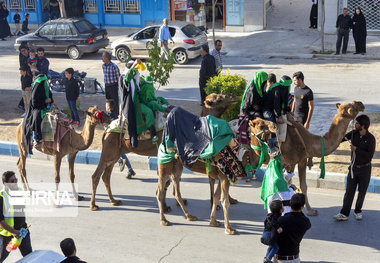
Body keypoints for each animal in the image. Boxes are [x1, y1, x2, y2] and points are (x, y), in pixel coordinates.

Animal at [89, 94, 238, 211]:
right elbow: (167, 180)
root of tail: (107, 129)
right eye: (218, 98)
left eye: (222, 94)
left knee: (106, 176)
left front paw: (176, 203)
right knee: (96, 175)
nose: (232, 96)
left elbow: (171, 179)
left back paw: (114, 201)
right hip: (109, 149)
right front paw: (167, 206)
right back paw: (94, 205)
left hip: (115, 153)